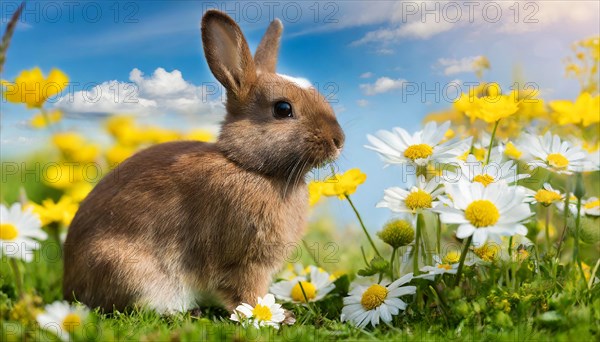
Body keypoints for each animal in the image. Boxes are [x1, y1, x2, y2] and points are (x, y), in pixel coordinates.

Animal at [62, 9, 344, 314]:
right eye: (283, 109)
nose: (339, 140)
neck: (247, 165)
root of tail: (69, 284)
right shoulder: (244, 262)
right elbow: (246, 292)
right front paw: (274, 316)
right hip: (127, 270)